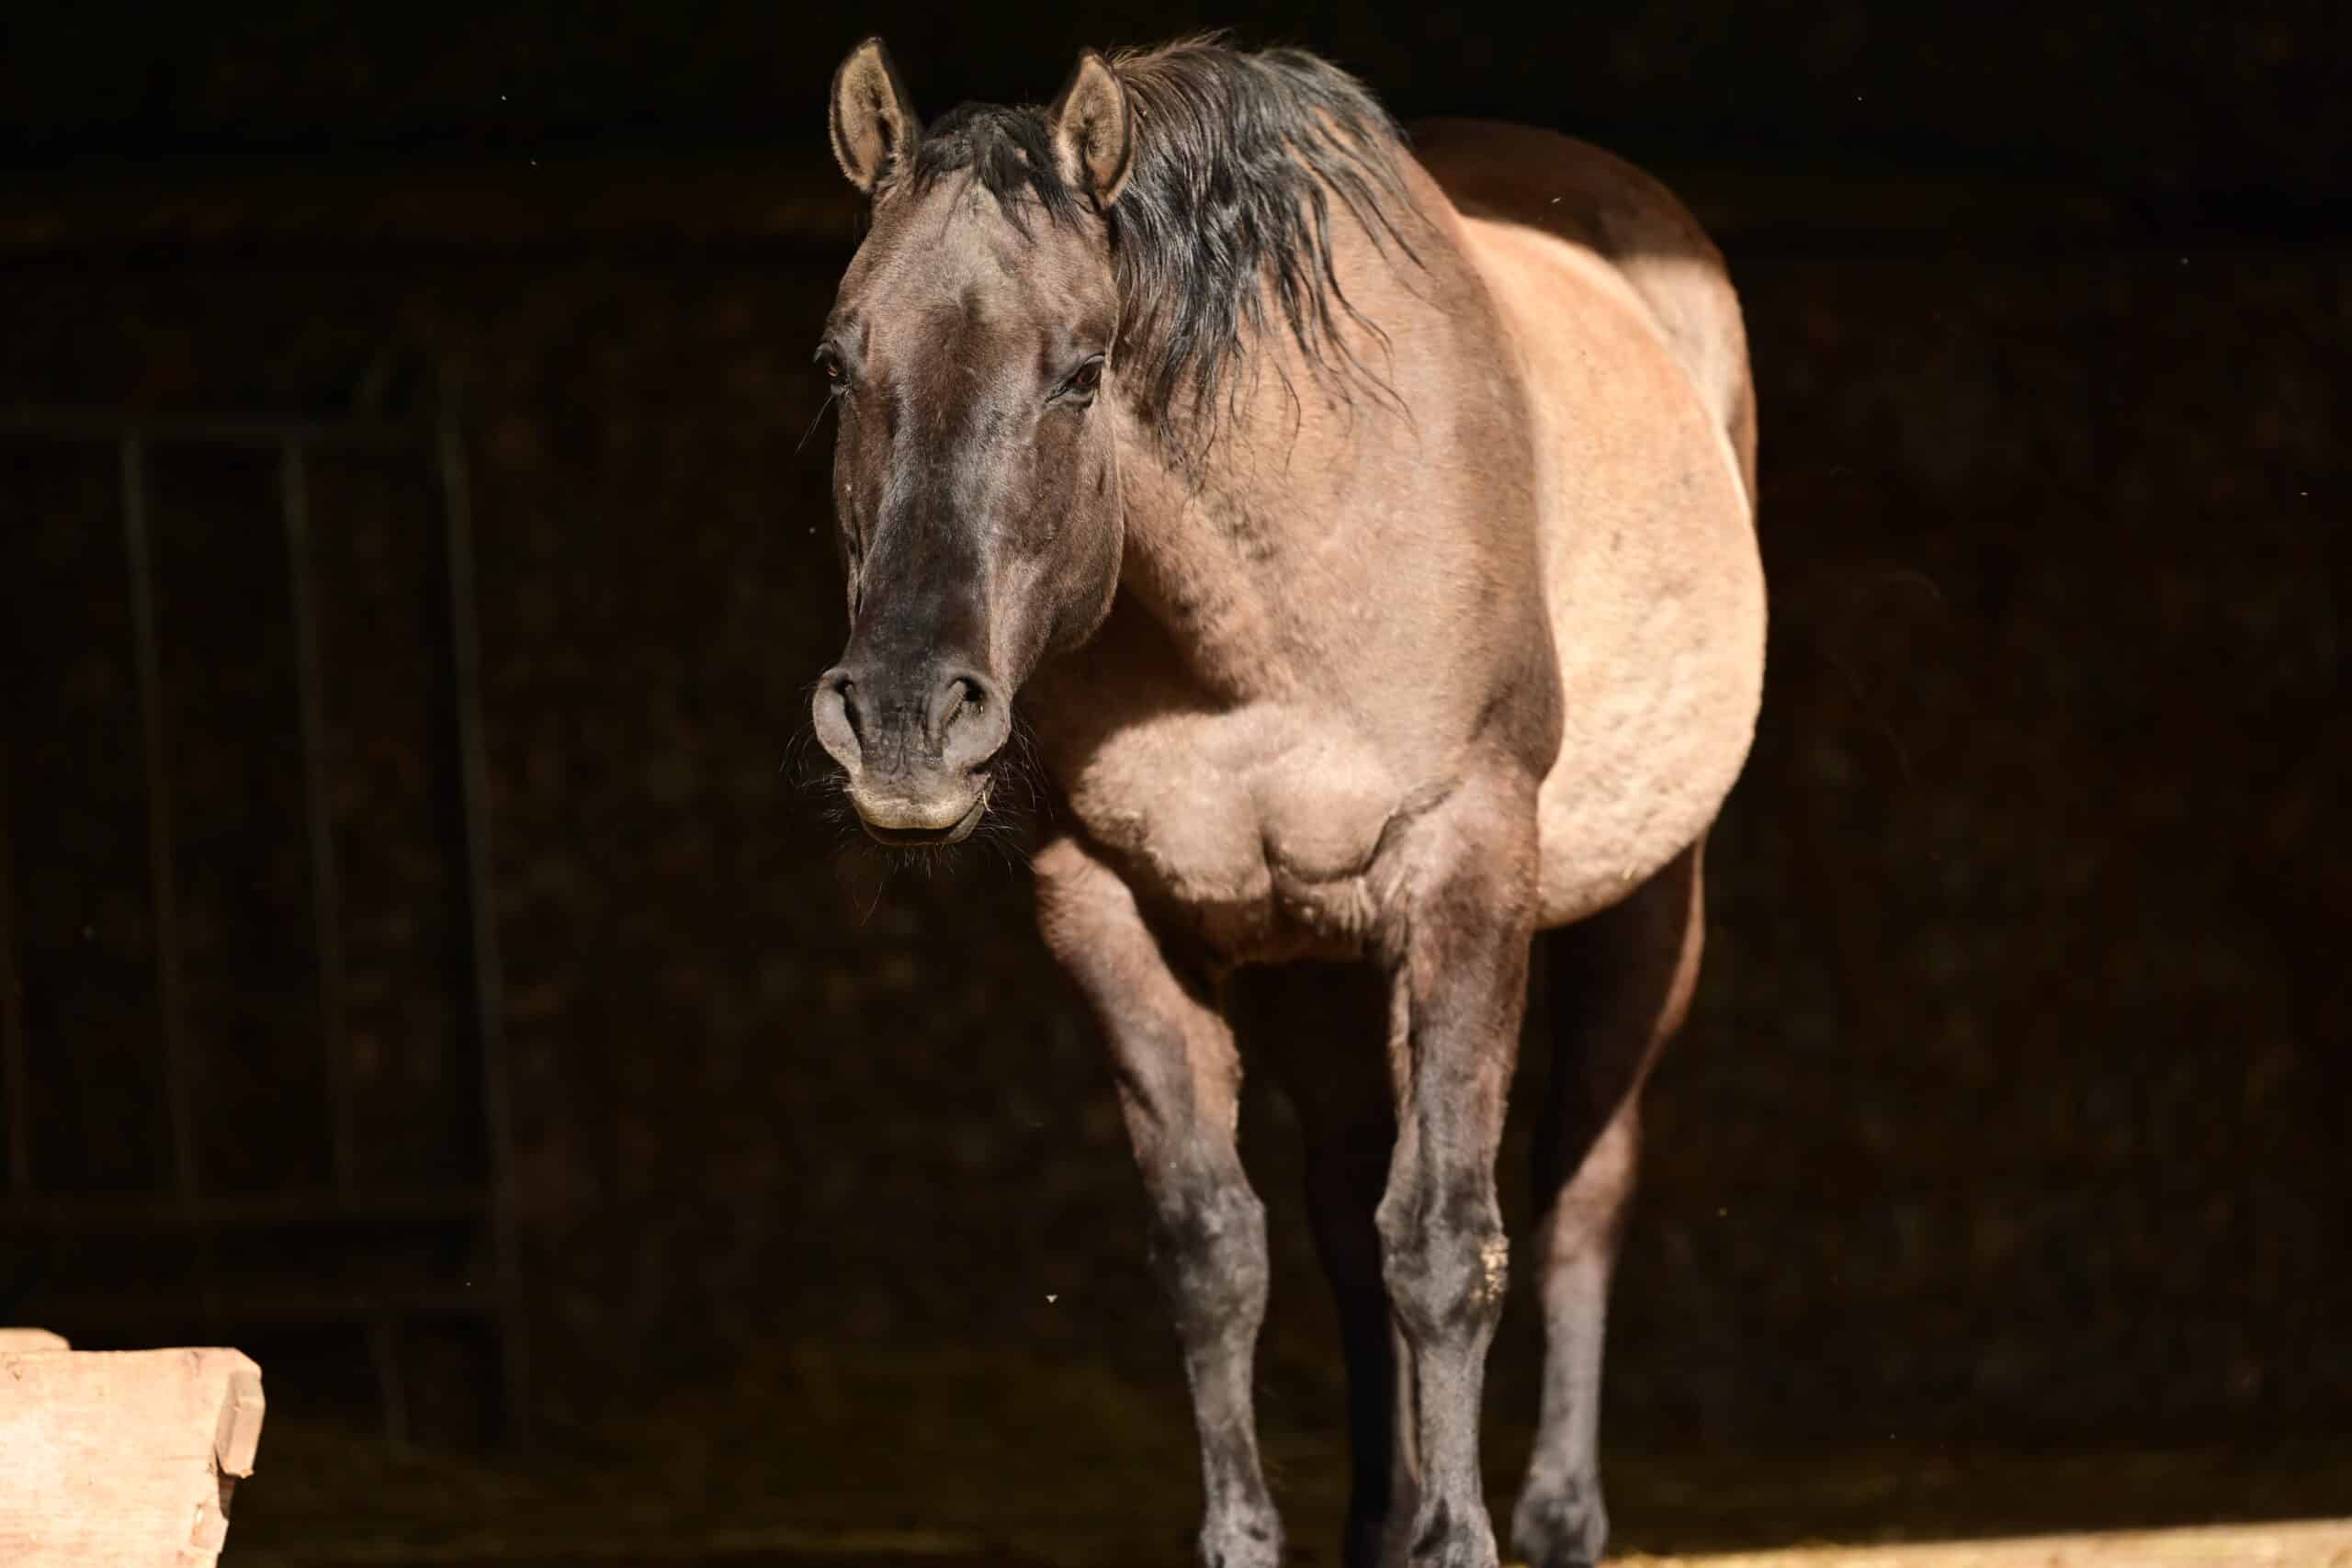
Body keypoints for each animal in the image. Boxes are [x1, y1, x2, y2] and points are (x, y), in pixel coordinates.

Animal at [807, 34, 1764, 1568]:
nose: (901, 718)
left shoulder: (1467, 876)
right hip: (1317, 963)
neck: (1261, 608)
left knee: (1581, 1190)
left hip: (1646, 905)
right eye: (841, 363)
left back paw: (1559, 1513)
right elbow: (1217, 1249)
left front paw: (1462, 1537)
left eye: (1082, 370)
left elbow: (1445, 1239)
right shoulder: (1111, 909)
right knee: (1341, 1212)